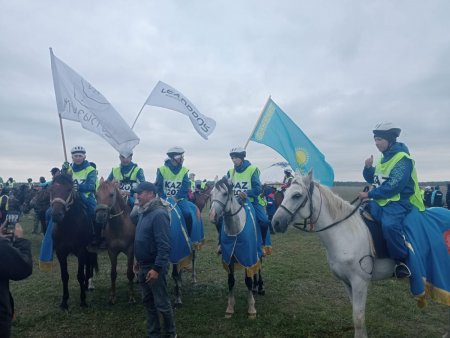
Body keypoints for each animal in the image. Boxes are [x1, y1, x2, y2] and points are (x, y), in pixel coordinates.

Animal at [50, 174, 97, 308]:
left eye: (69, 189)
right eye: (51, 190)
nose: (56, 215)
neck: (68, 227)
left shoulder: (81, 251)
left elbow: (80, 275)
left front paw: (83, 300)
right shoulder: (60, 252)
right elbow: (65, 276)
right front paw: (64, 301)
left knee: (89, 265)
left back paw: (89, 285)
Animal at [210, 177, 262, 320]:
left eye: (224, 194)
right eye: (211, 194)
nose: (212, 216)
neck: (235, 229)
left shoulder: (248, 257)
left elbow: (248, 281)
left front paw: (251, 309)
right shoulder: (229, 259)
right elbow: (231, 281)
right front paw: (230, 308)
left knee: (259, 268)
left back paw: (260, 287)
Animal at [272, 172, 448, 338]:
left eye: (296, 195)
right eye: (285, 193)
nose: (275, 223)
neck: (344, 233)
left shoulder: (360, 282)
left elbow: (358, 317)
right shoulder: (346, 282)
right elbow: (357, 315)